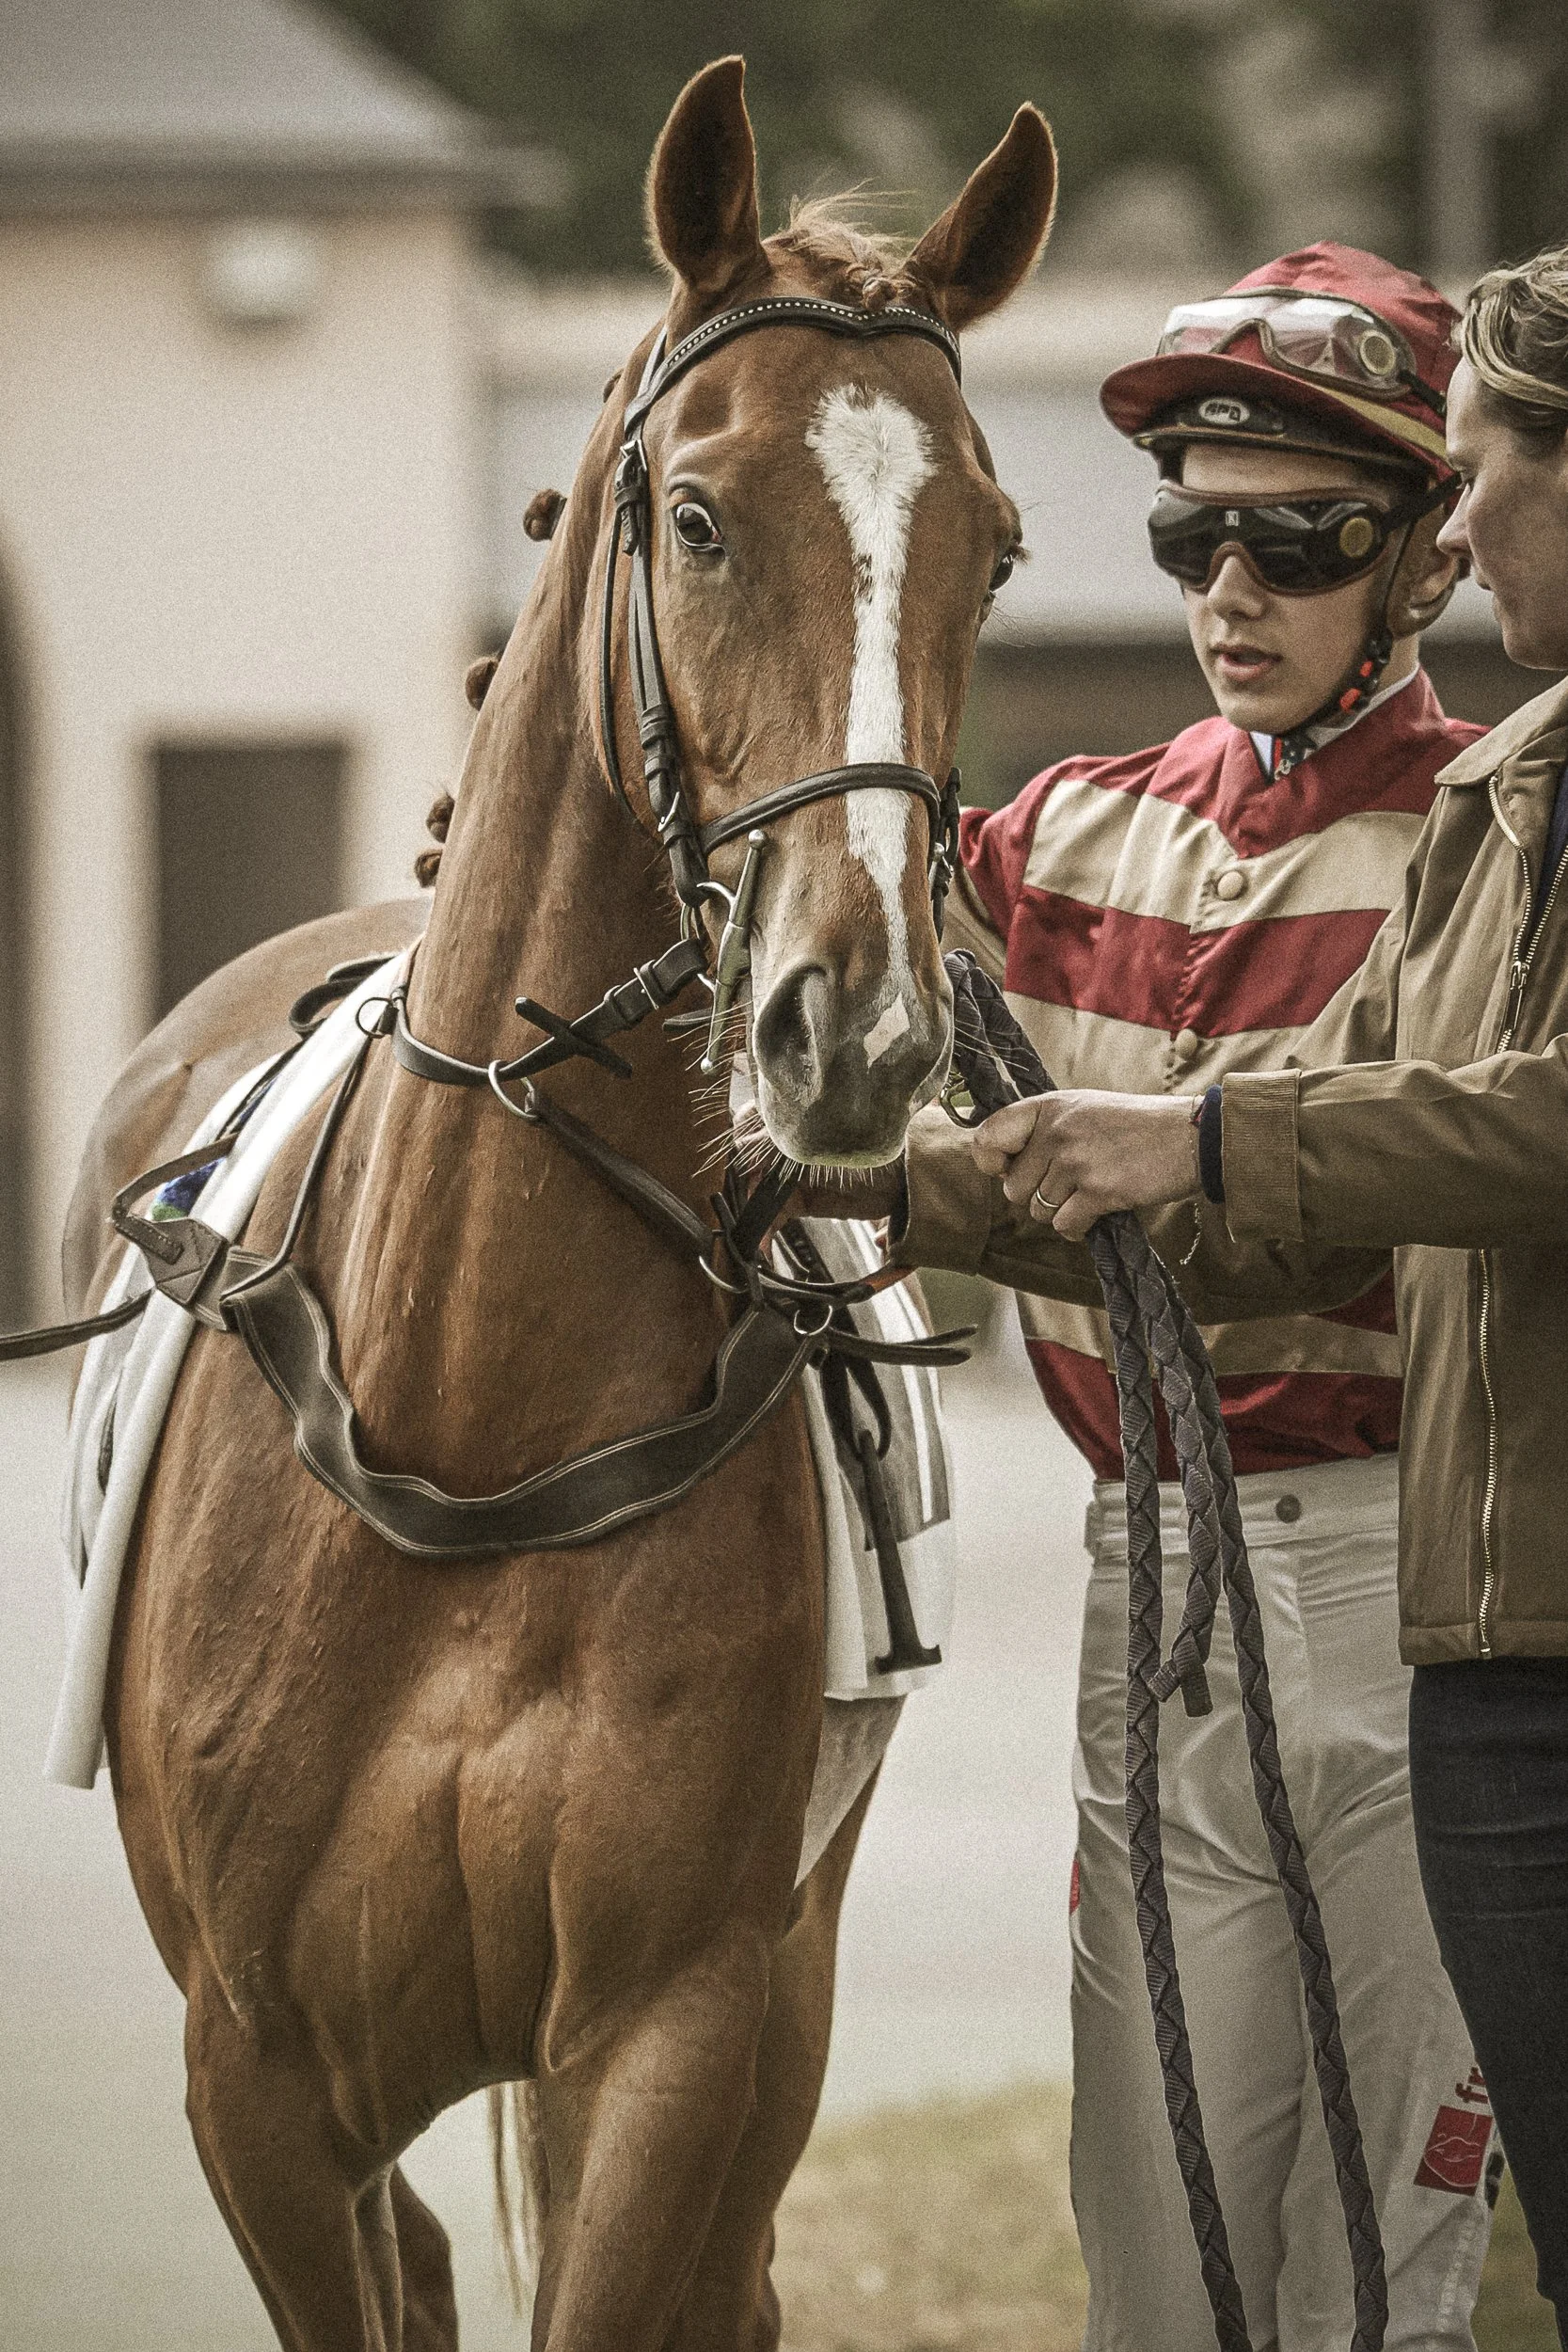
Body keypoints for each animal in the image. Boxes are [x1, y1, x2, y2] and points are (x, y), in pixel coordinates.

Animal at [66, 58, 1056, 2350]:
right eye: (696, 516)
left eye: (990, 551)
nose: (854, 1023)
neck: (474, 1413)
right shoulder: (258, 2082)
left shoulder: (676, 2032)